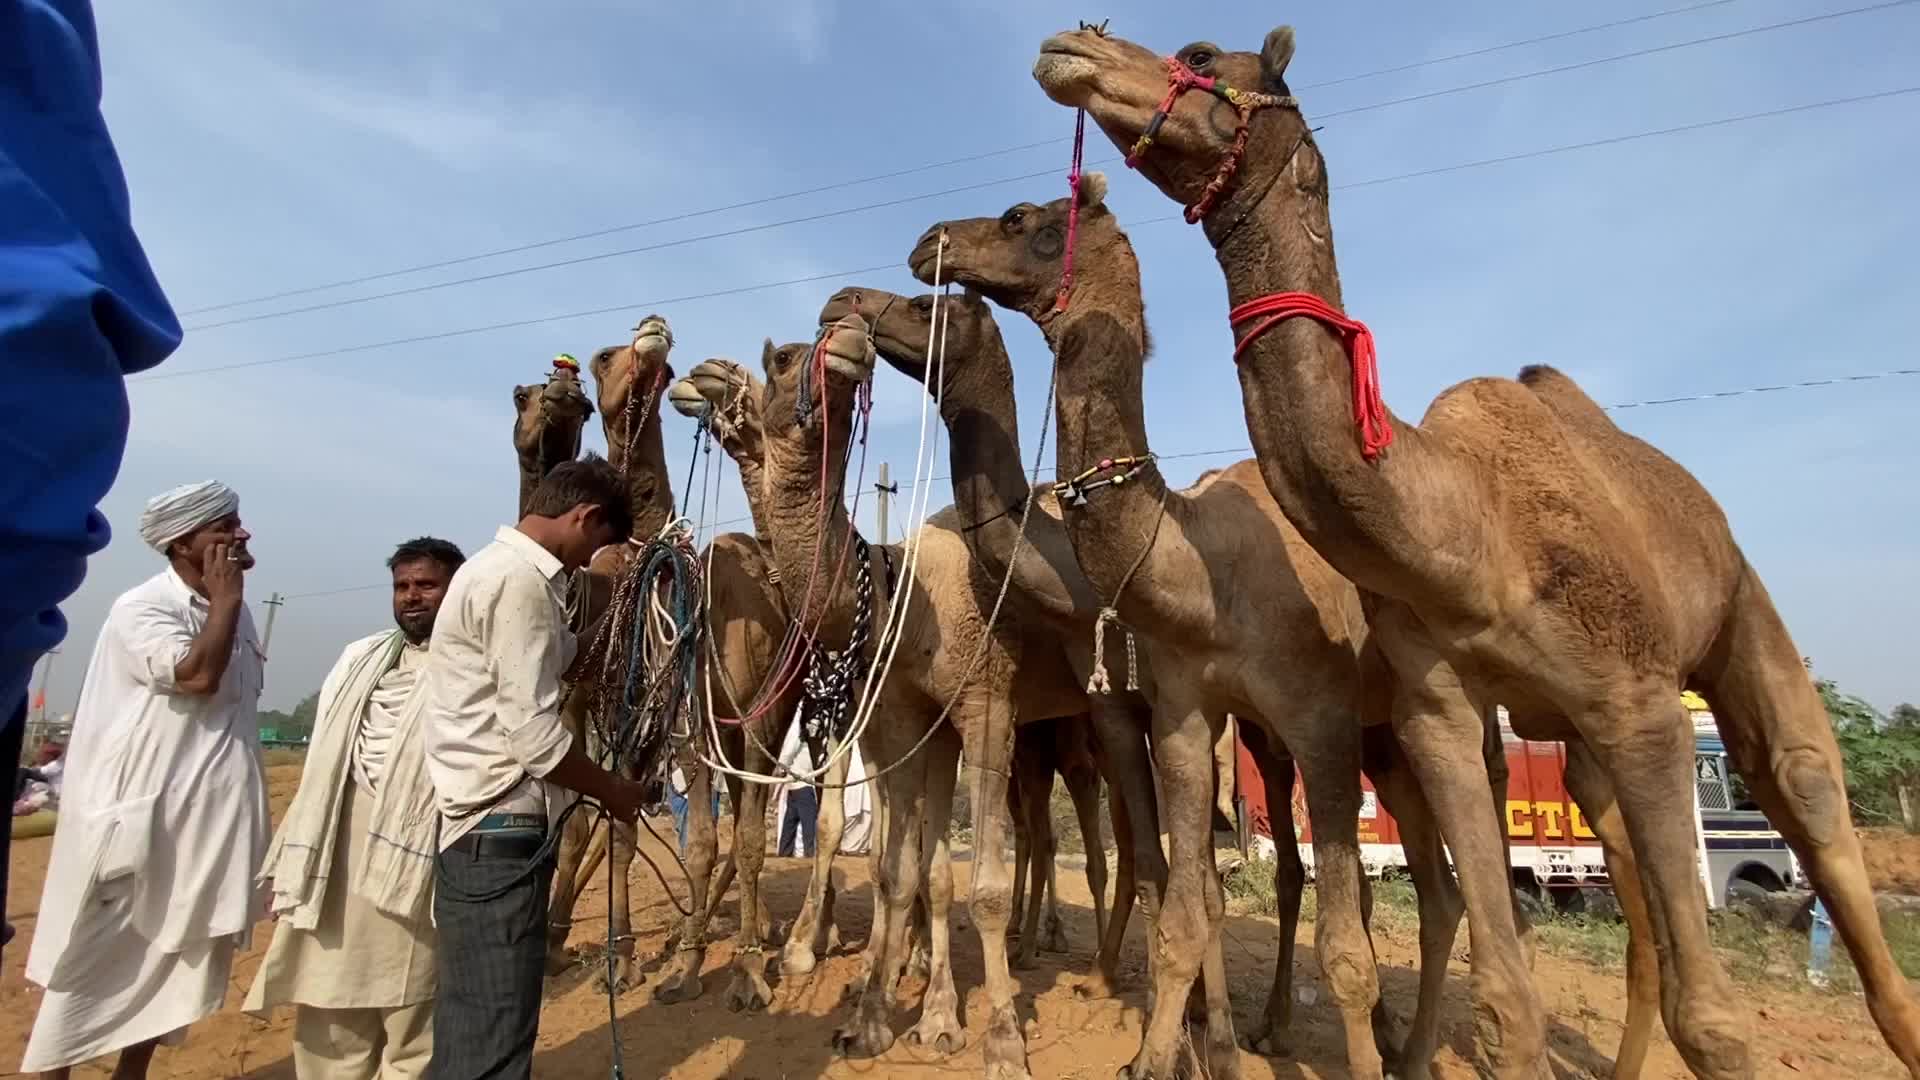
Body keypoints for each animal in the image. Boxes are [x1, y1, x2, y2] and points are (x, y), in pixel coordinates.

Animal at [912, 178, 1470, 1080]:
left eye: (1020, 219)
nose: (929, 241)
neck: (1204, 573)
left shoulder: (1319, 718)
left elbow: (1346, 950)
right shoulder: (1183, 714)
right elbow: (1184, 905)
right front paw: (1163, 1053)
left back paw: (1408, 1051)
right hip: (1364, 735)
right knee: (1431, 886)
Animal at [1031, 23, 1920, 1079]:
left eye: (1202, 54)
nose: (1069, 44)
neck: (1475, 537)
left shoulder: (1639, 700)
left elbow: (1716, 1021)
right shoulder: (1440, 710)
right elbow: (1505, 1002)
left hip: (1737, 612)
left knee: (1805, 787)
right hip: (1559, 742)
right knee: (1604, 880)